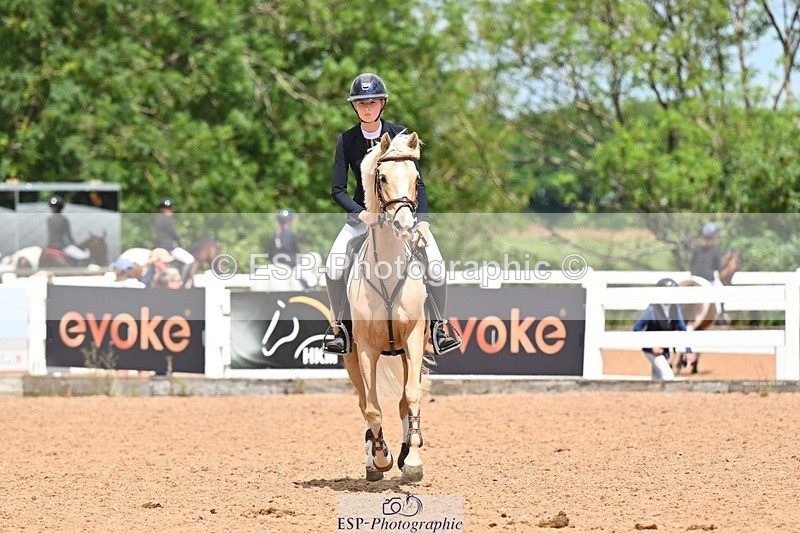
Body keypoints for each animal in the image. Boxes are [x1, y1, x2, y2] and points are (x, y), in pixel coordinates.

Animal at [340, 131, 429, 483]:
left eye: (416, 178)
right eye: (382, 177)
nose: (404, 225)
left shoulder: (414, 338)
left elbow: (413, 395)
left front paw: (413, 461)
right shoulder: (365, 347)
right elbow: (372, 407)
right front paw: (380, 458)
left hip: (406, 353)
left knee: (404, 399)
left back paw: (407, 452)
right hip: (351, 357)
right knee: (364, 401)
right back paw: (374, 457)